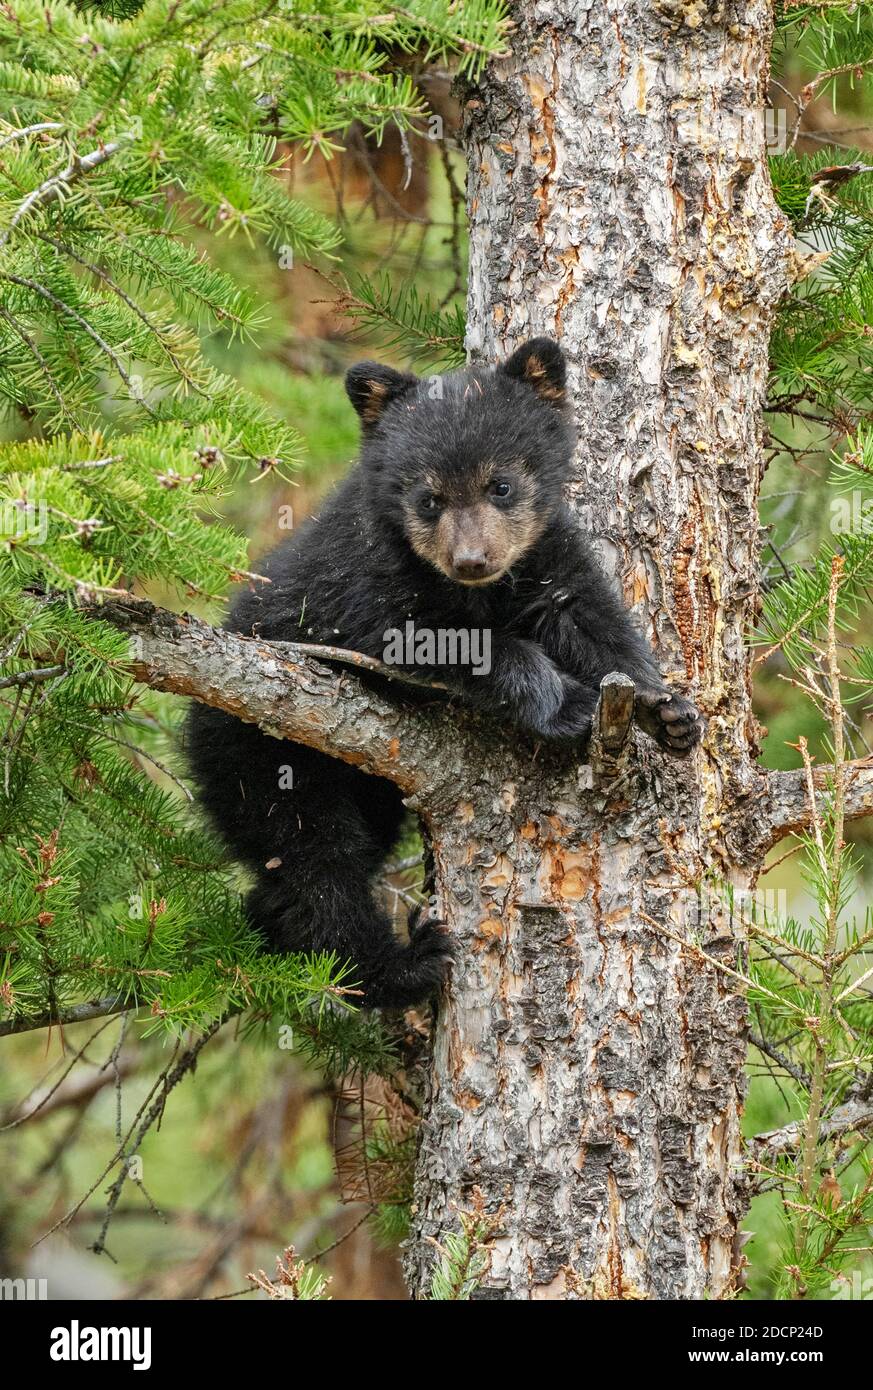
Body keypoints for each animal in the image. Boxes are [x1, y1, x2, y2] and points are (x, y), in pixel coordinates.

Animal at [186, 338, 702, 1008]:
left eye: (500, 485)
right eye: (428, 498)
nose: (472, 559)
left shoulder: (542, 552)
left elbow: (587, 612)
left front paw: (663, 708)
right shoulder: (362, 582)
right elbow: (443, 641)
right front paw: (566, 704)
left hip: (365, 786)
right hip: (264, 756)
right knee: (316, 864)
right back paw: (398, 967)